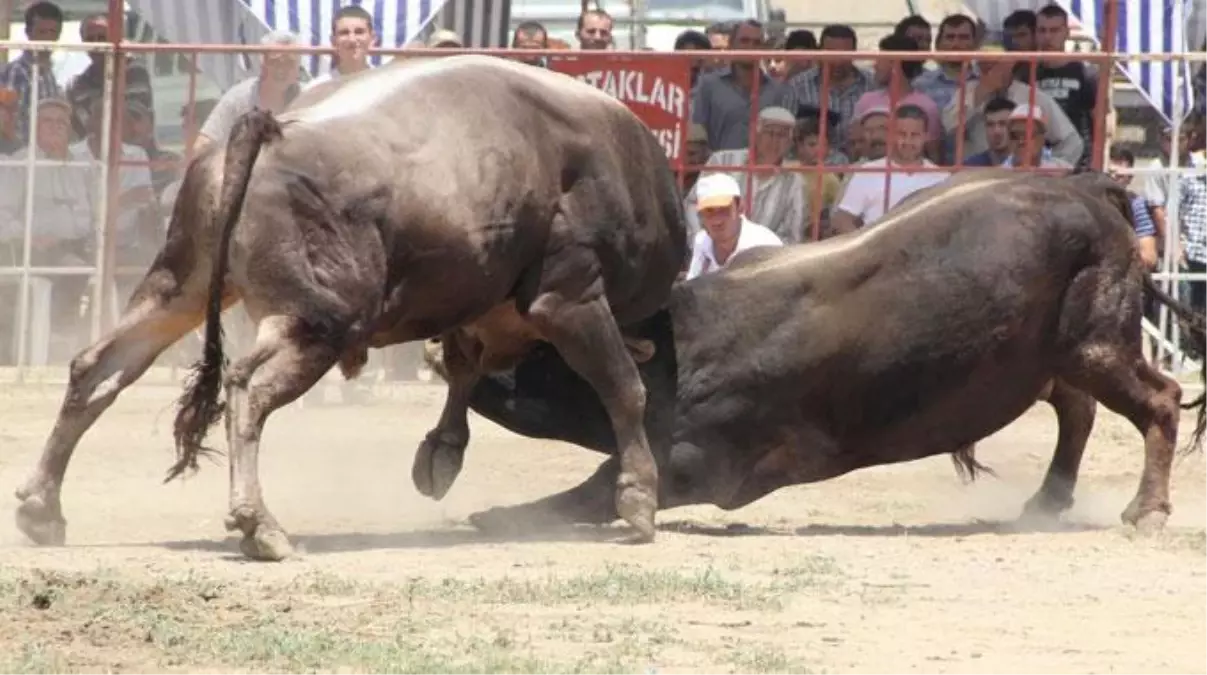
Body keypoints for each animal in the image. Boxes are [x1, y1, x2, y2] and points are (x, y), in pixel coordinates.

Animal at [9, 55, 690, 560]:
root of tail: (268, 129)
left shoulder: (478, 304)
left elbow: (463, 370)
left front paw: (441, 452)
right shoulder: (568, 296)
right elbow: (623, 388)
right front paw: (638, 497)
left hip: (181, 286)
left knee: (99, 368)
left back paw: (43, 506)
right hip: (317, 324)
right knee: (246, 387)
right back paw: (260, 525)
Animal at [417, 167, 1207, 533]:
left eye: (540, 353)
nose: (444, 342)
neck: (681, 349)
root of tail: (1087, 190)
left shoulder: (701, 462)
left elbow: (593, 490)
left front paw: (501, 514)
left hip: (1095, 344)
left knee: (1159, 400)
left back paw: (1146, 510)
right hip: (1060, 356)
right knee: (1078, 411)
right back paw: (1046, 500)